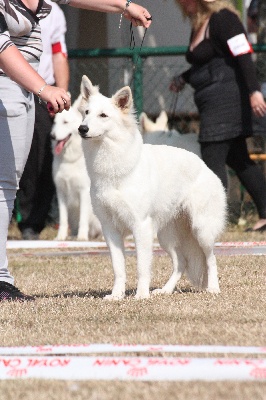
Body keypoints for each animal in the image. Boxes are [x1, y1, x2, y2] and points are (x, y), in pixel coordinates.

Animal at [51, 94, 102, 241]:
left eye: (65, 122)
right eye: (55, 122)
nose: (52, 136)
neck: (70, 160)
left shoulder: (84, 191)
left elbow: (83, 218)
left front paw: (82, 237)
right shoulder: (61, 192)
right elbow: (63, 219)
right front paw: (61, 237)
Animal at [77, 76, 227, 300]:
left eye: (103, 115)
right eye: (86, 112)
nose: (82, 129)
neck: (115, 166)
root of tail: (207, 168)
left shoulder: (140, 226)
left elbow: (141, 266)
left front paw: (141, 295)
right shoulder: (110, 229)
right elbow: (118, 268)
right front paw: (117, 295)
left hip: (202, 231)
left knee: (211, 258)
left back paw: (213, 288)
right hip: (166, 237)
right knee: (181, 263)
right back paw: (165, 290)